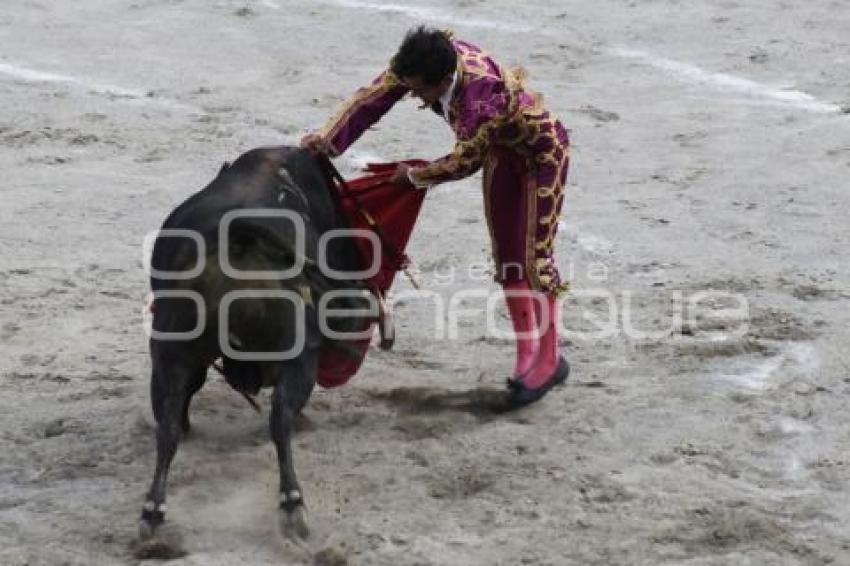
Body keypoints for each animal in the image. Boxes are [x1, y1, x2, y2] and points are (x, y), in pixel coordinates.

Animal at [141, 146, 372, 540]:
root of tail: (240, 238)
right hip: (297, 357)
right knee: (280, 416)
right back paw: (292, 502)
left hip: (170, 354)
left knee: (168, 423)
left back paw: (153, 511)